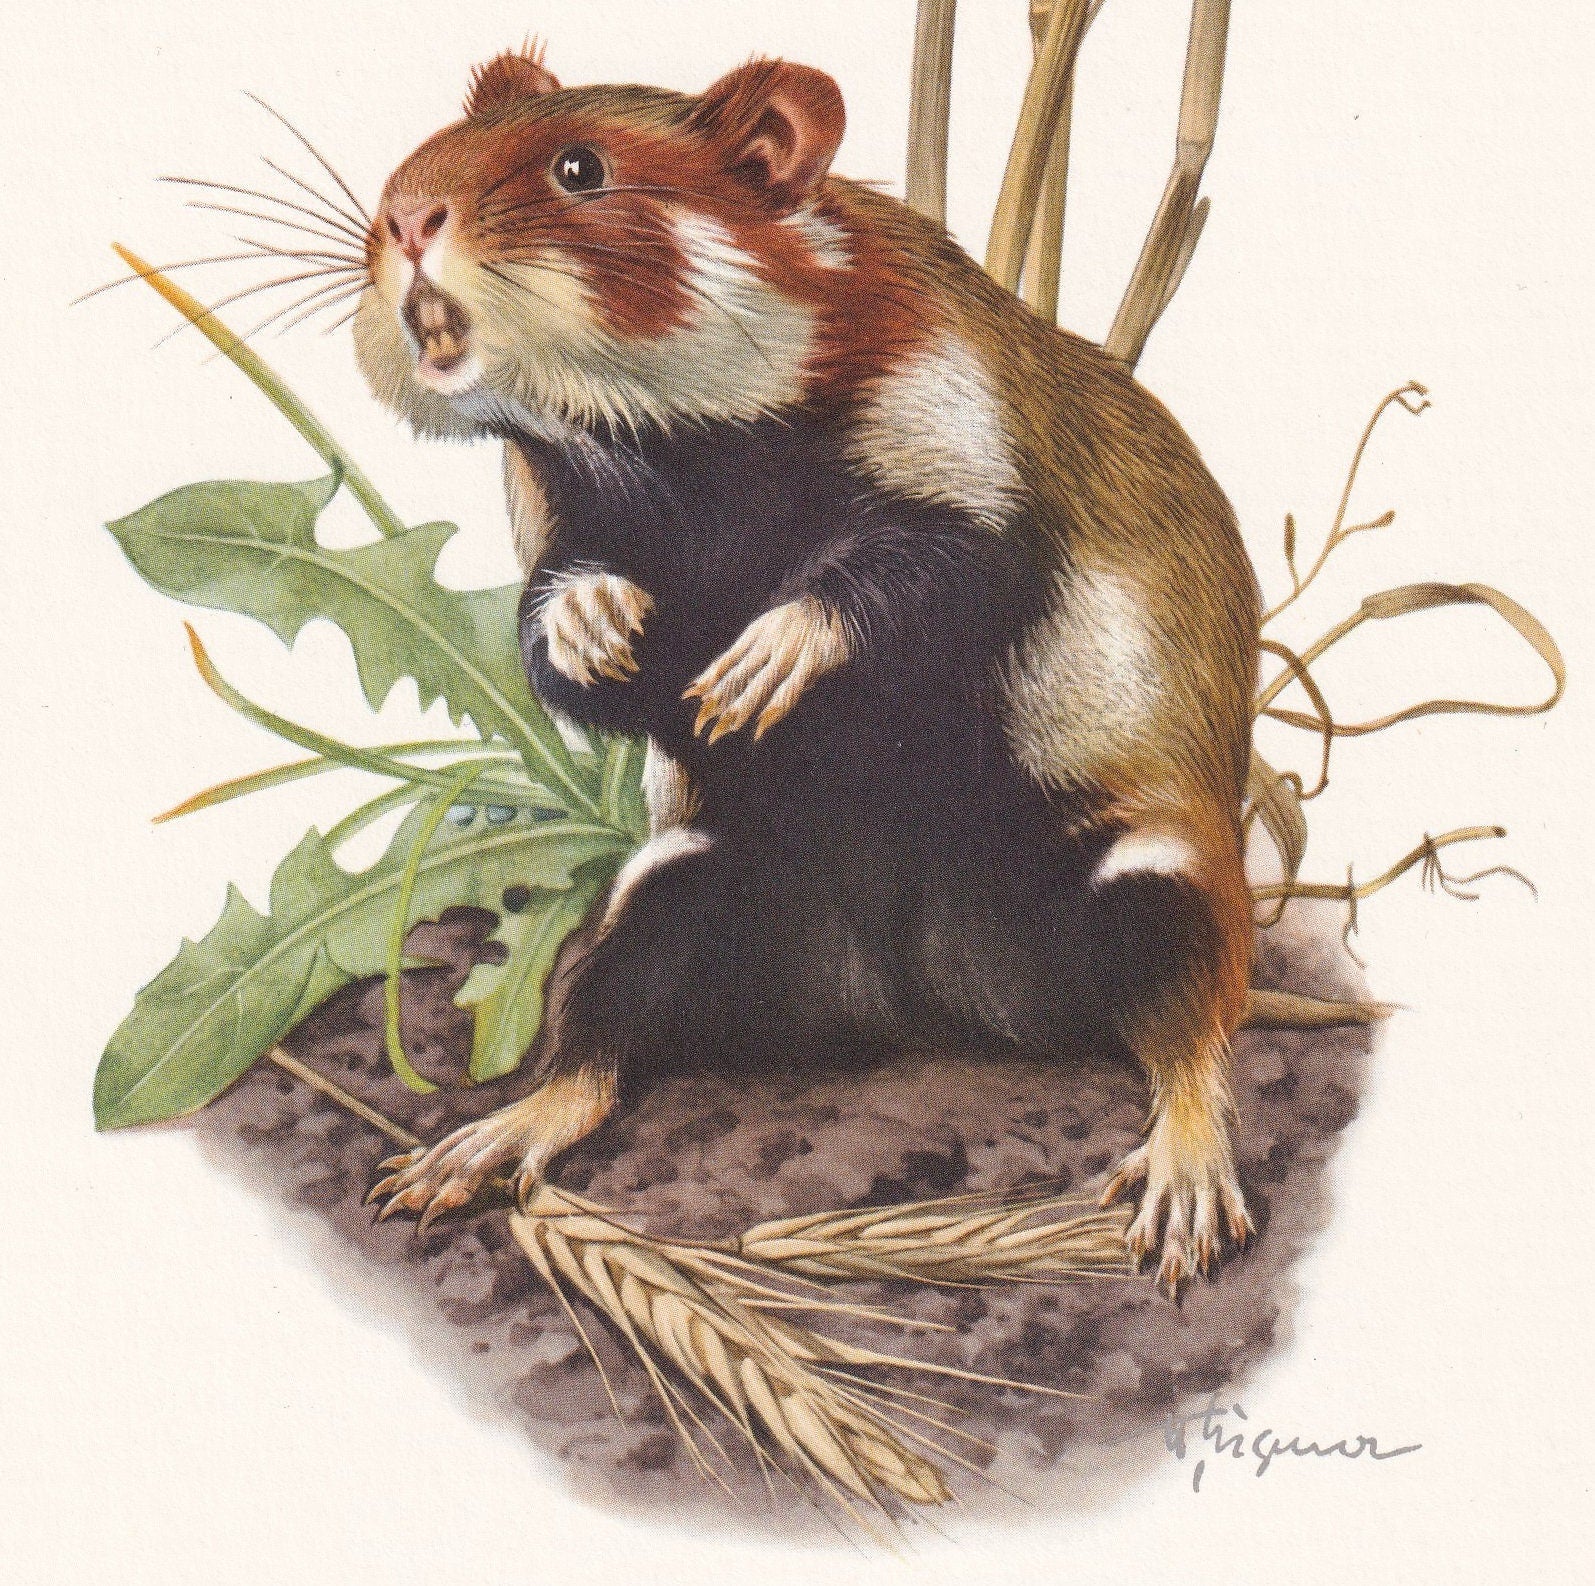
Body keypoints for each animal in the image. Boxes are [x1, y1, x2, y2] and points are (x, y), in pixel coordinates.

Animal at [358, 45, 1260, 1295]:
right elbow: (561, 625)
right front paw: (598, 622)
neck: (686, 443)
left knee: (1190, 1044)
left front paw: (753, 669)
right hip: (672, 892)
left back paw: (1180, 1206)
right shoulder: (556, 511)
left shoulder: (963, 469)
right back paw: (463, 1155)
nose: (401, 219)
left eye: (581, 169)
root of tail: (927, 1009)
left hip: (1153, 882)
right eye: (435, 150)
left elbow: (910, 571)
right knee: (591, 1049)